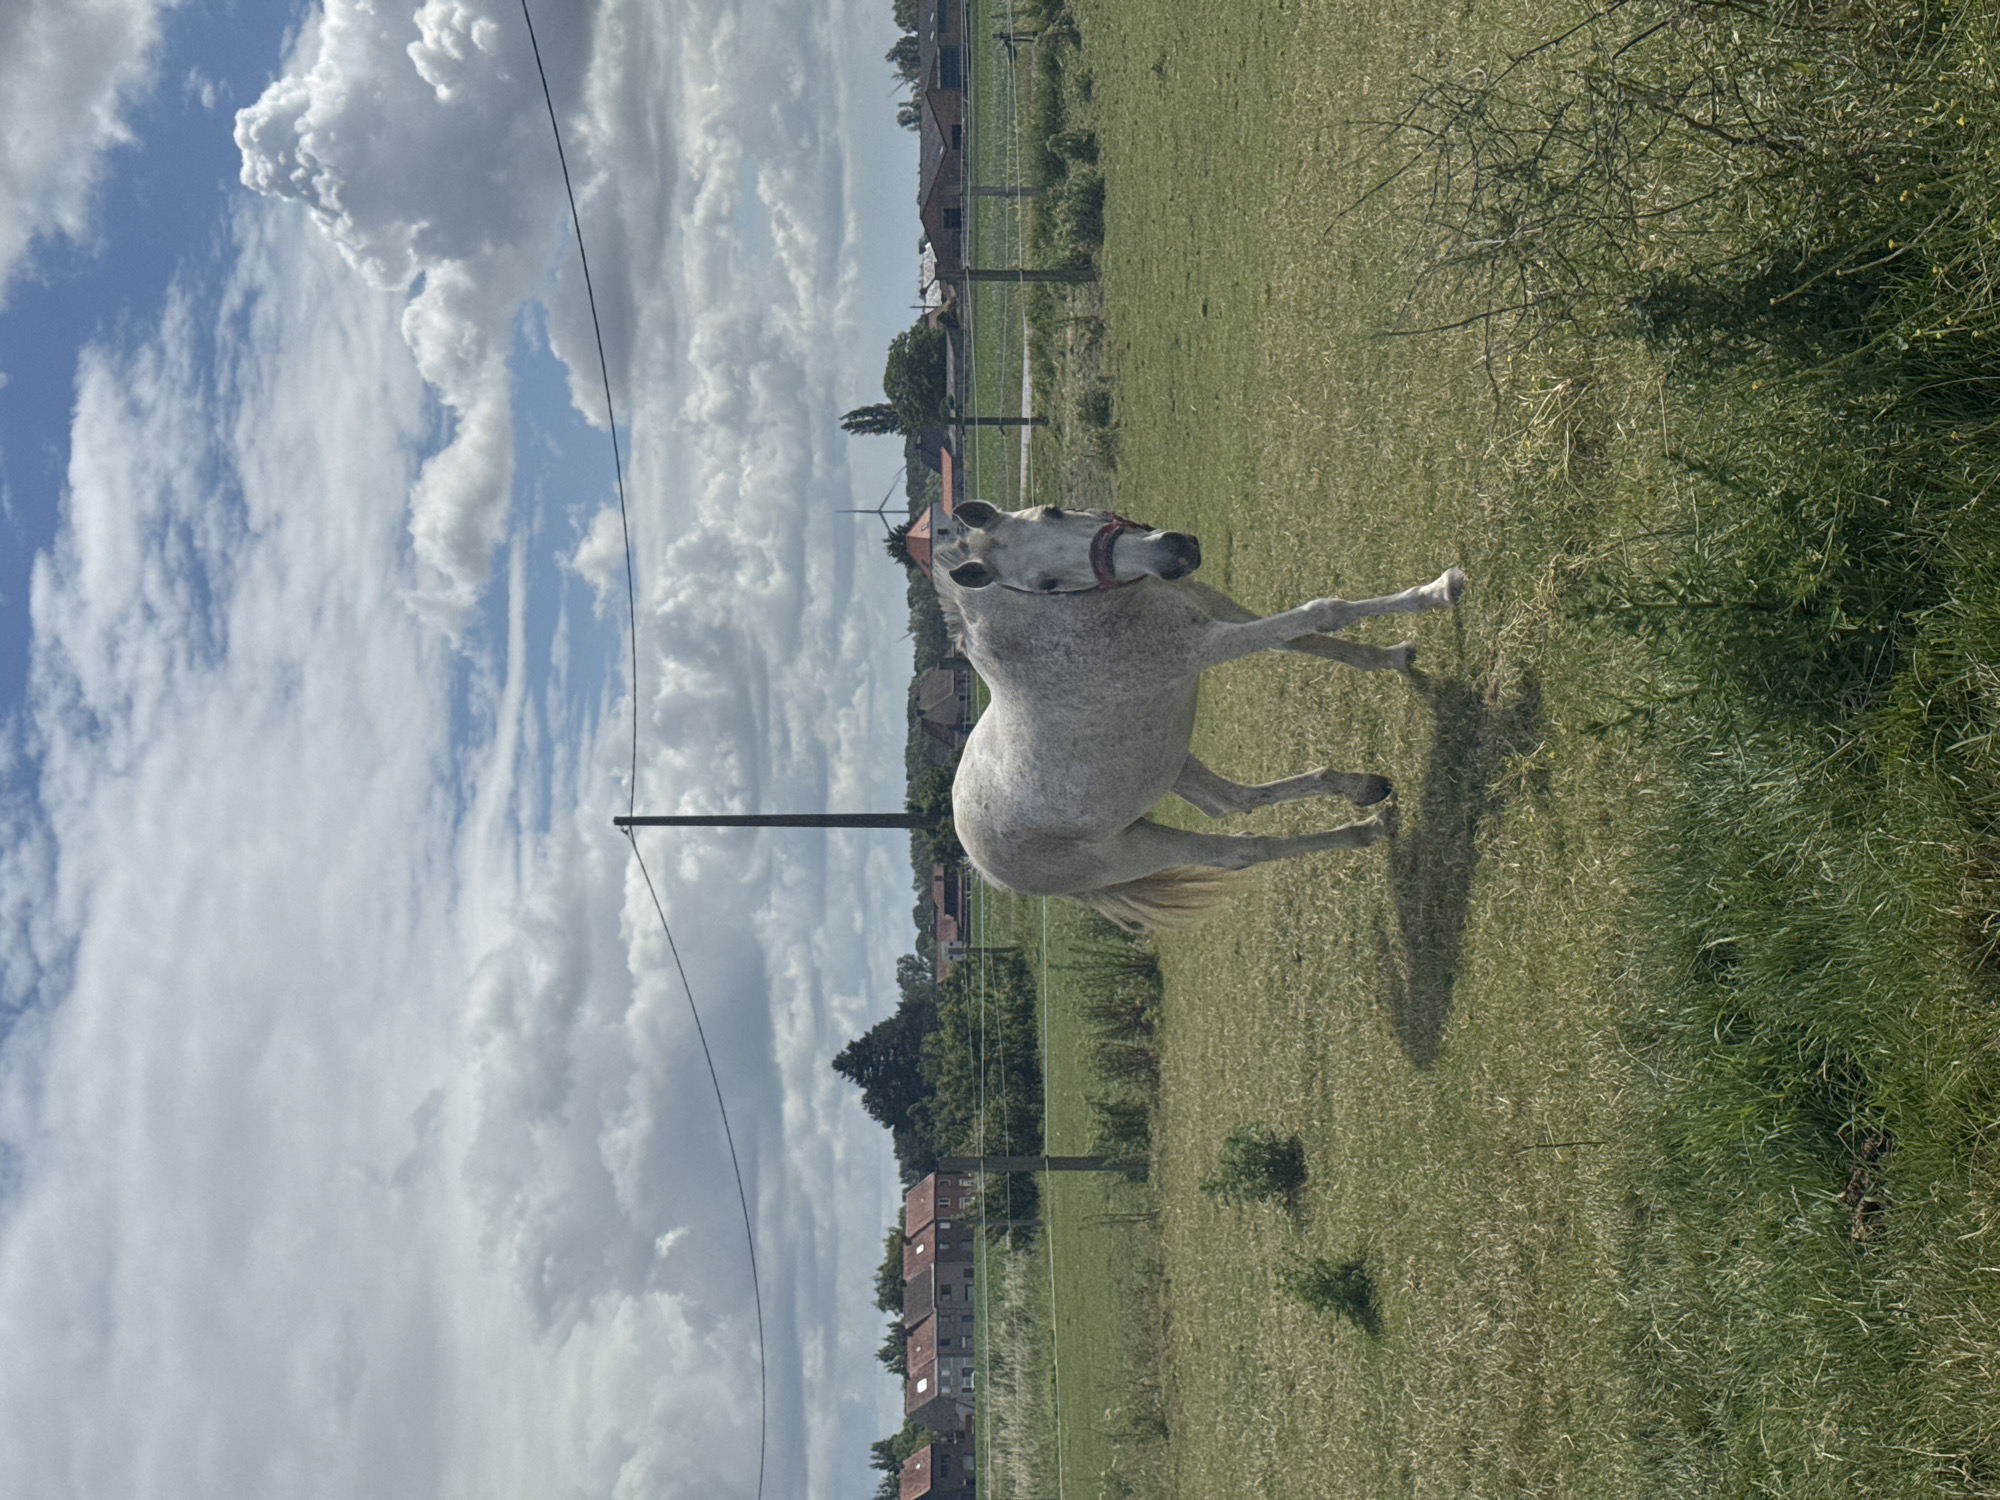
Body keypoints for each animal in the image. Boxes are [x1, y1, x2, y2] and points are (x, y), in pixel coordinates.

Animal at [932, 501, 1466, 929]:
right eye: (1045, 584)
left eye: (1053, 512)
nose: (1174, 553)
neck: (1063, 627)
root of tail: (982, 867)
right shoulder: (1203, 646)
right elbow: (1322, 612)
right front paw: (1441, 590)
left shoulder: (1209, 604)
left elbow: (1307, 639)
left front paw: (1394, 657)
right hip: (1137, 849)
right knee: (1241, 851)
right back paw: (1367, 828)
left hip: (1165, 764)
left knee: (1230, 802)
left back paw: (1360, 787)